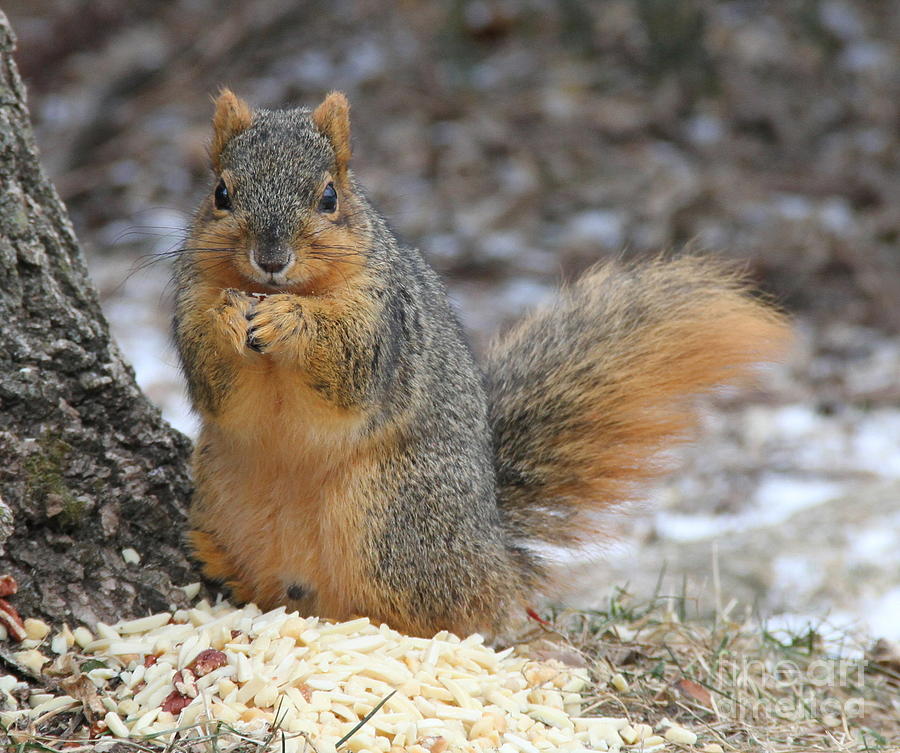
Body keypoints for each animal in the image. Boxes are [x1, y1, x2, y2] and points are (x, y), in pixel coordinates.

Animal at [172, 91, 792, 636]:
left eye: (329, 197)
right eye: (221, 193)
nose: (271, 259)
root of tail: (493, 557)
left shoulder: (385, 324)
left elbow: (349, 372)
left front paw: (289, 321)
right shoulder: (189, 300)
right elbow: (212, 385)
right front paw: (226, 317)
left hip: (389, 515)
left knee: (438, 609)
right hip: (223, 496)